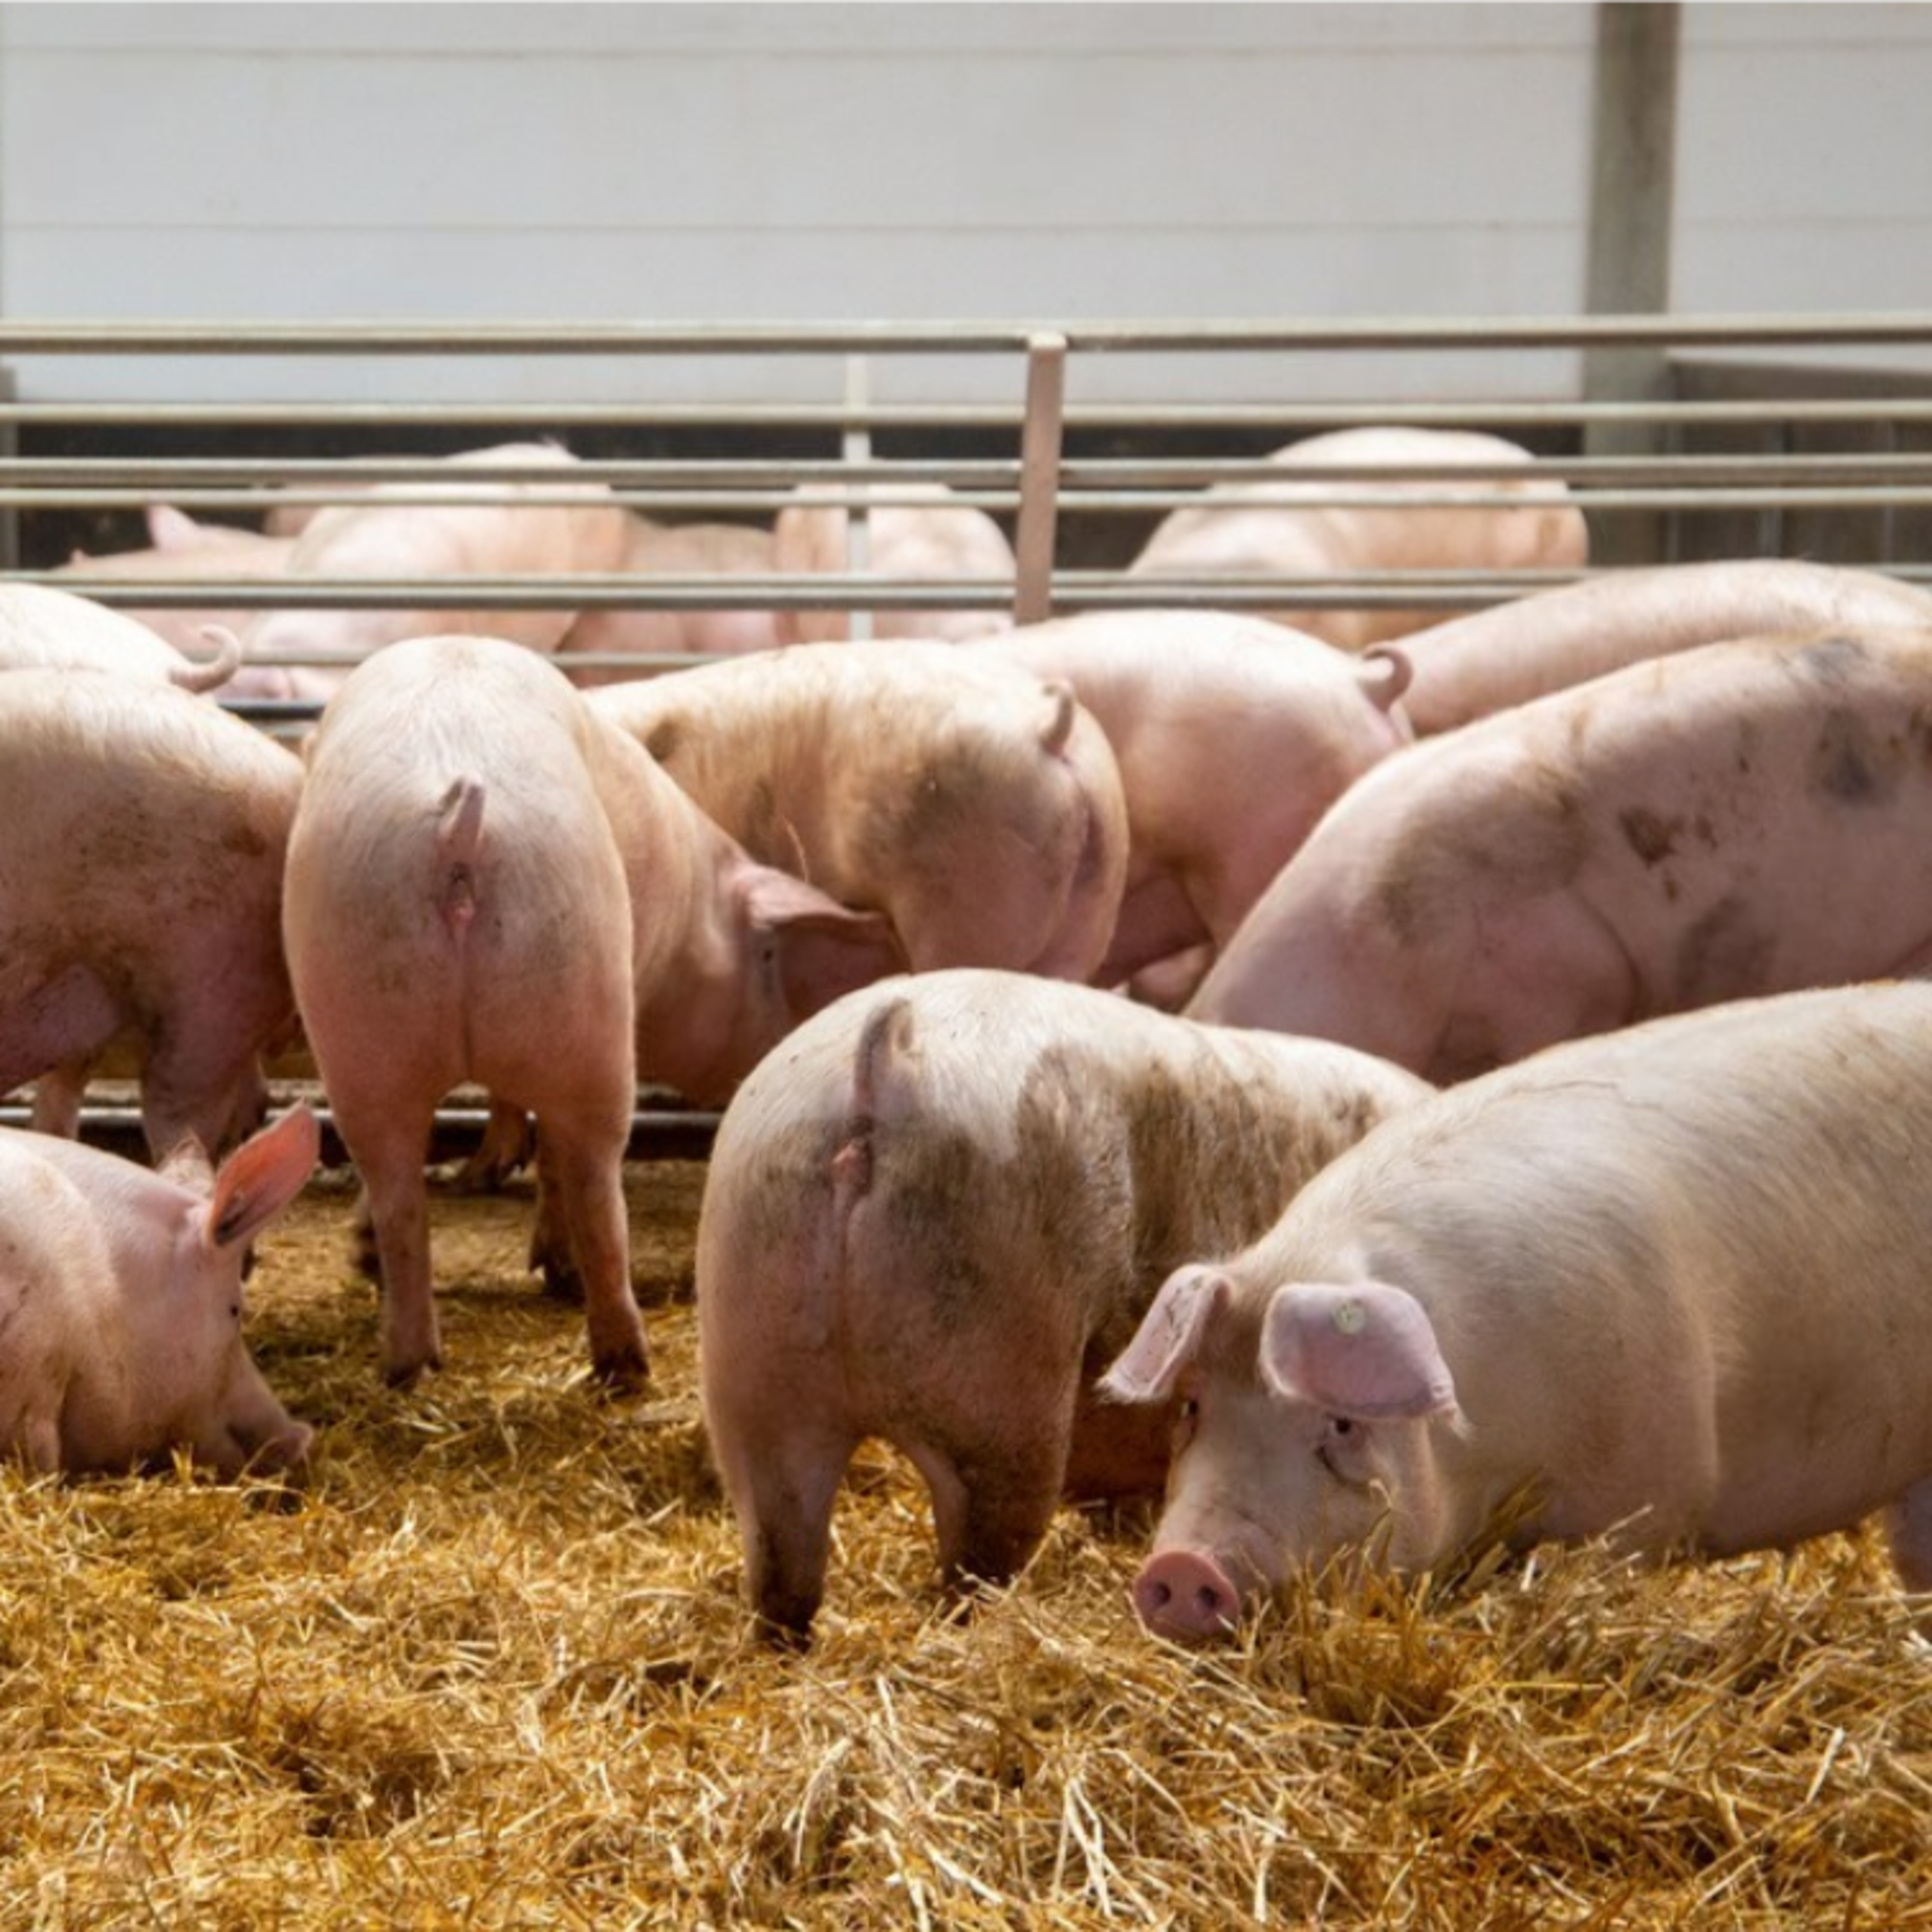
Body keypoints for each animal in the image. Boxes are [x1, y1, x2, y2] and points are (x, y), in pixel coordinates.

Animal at [284, 635, 897, 1386]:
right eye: (768, 963)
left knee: (398, 1186)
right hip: (588, 1003)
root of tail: (459, 823)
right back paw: (616, 1351)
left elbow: (504, 1106)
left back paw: (408, 1357)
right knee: (590, 1177)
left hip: (360, 1014)